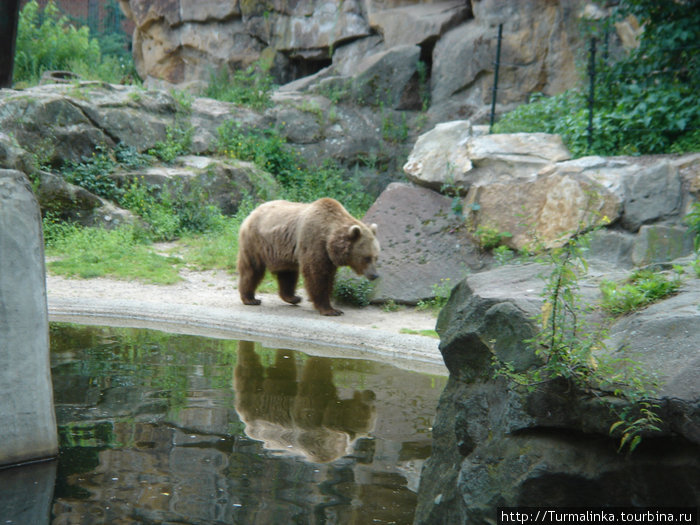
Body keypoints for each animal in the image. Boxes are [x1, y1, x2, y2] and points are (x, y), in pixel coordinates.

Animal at [237, 198, 380, 316]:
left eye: (376, 257)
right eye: (367, 257)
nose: (375, 275)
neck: (329, 239)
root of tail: (252, 212)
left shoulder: (328, 256)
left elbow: (327, 276)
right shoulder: (314, 242)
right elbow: (316, 275)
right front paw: (330, 309)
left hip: (282, 251)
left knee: (287, 274)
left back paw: (293, 297)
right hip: (256, 242)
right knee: (252, 269)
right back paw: (250, 298)